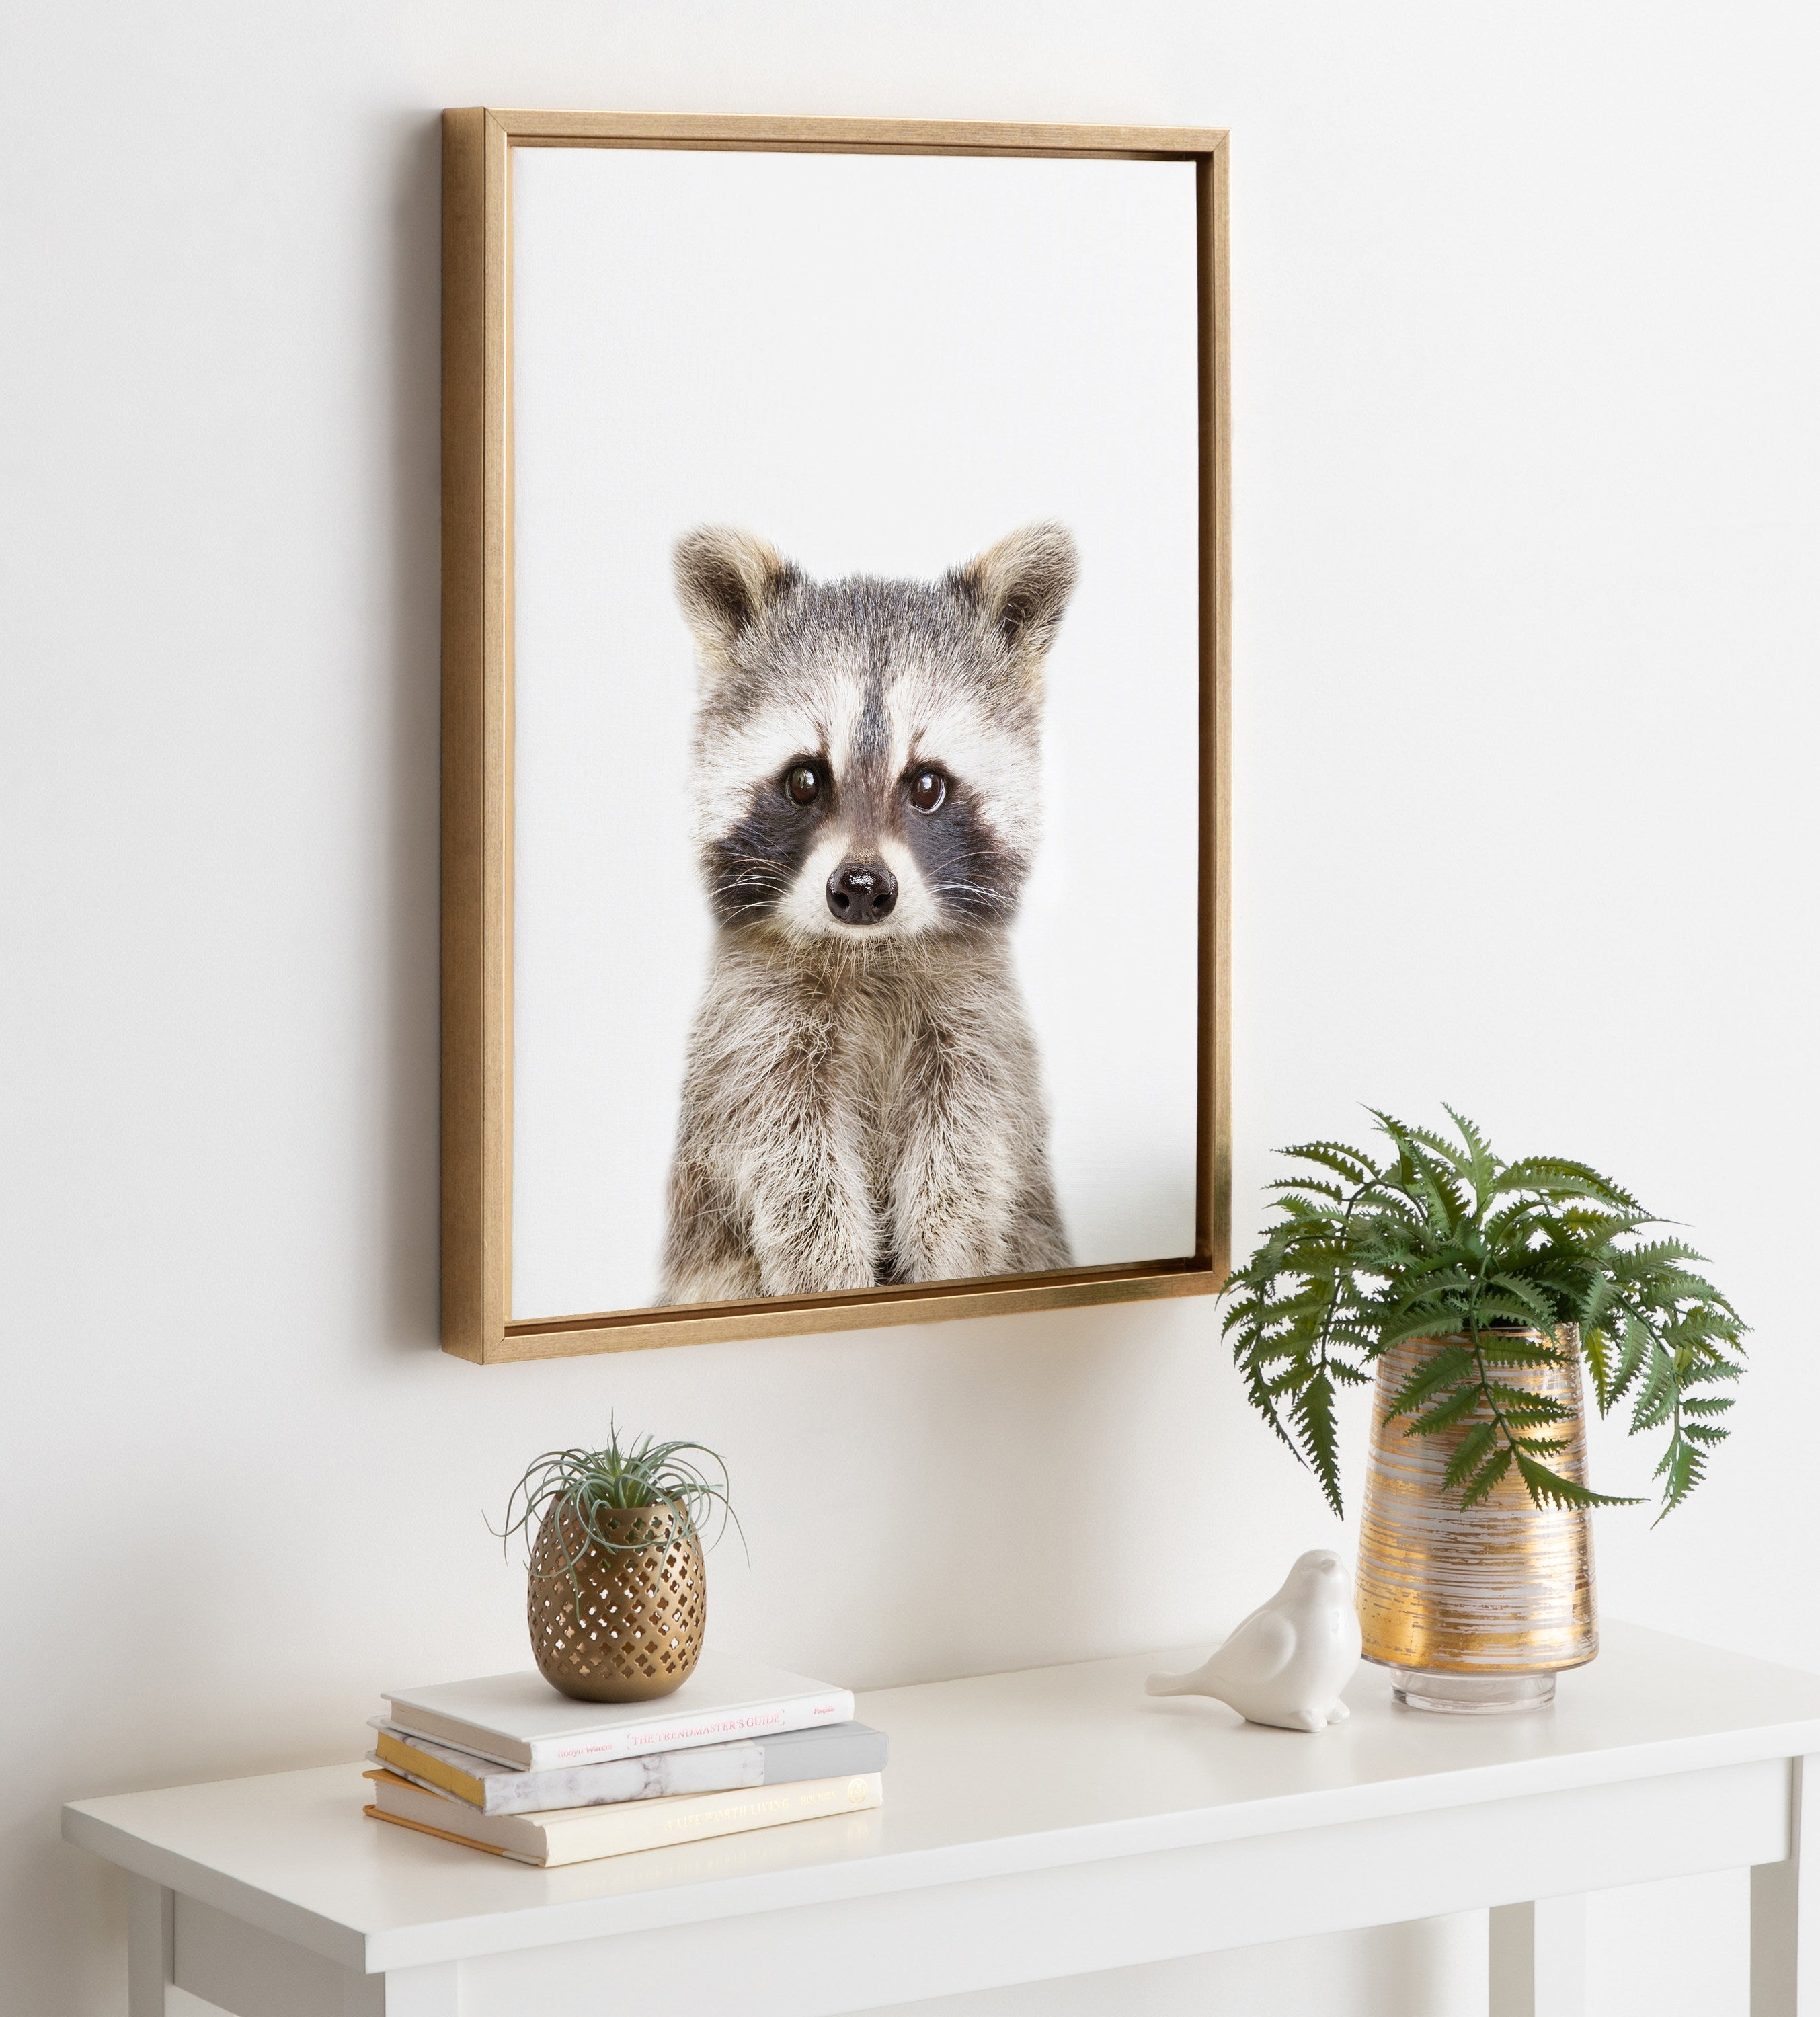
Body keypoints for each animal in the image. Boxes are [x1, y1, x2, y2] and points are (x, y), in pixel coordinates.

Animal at [657, 523, 1077, 1304]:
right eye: (803, 779)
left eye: (927, 785)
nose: (859, 888)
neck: (869, 950)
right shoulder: (753, 1031)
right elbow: (791, 1162)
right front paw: (829, 1278)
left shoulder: (978, 1023)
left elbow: (967, 1154)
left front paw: (948, 1264)